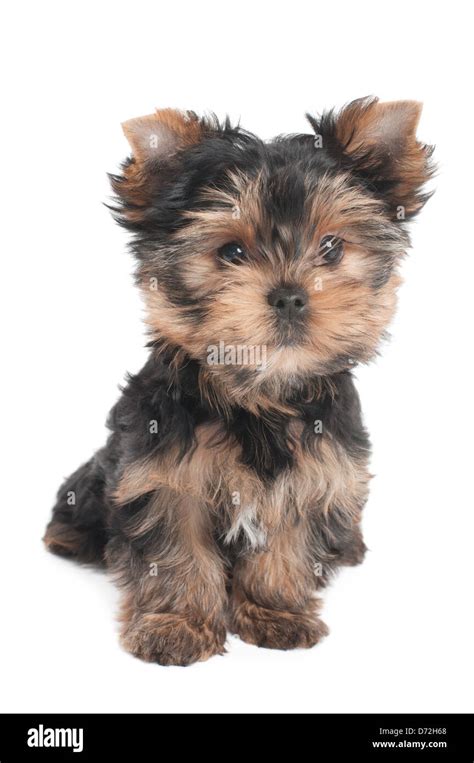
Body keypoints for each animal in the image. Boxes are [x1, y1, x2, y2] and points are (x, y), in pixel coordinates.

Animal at [44, 98, 434, 664]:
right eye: (231, 252)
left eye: (332, 247)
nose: (290, 295)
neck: (258, 394)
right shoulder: (161, 474)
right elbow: (176, 549)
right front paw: (177, 626)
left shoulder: (317, 473)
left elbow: (288, 543)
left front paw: (275, 612)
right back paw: (69, 537)